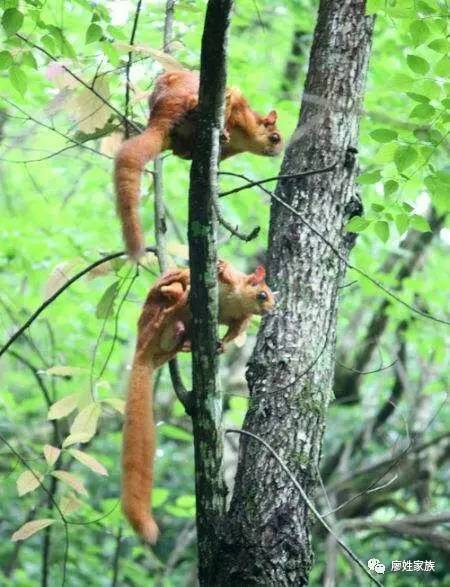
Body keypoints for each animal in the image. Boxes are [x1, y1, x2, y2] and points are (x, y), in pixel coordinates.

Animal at [113, 69, 282, 260]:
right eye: (275, 138)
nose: (278, 152)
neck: (243, 140)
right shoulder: (242, 112)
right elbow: (235, 99)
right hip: (190, 95)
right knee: (199, 103)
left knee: (179, 150)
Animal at [121, 260, 274, 544]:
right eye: (263, 295)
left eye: (272, 297)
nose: (272, 309)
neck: (236, 300)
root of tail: (143, 351)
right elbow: (207, 274)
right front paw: (220, 267)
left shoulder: (241, 319)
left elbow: (234, 332)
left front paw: (222, 346)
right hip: (152, 318)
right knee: (171, 291)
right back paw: (171, 300)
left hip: (168, 341)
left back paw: (183, 336)